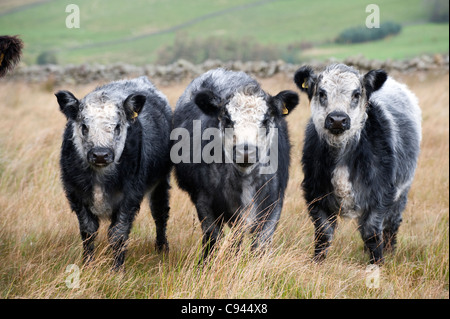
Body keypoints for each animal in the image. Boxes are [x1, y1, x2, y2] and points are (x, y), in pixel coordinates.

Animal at [54, 77, 171, 270]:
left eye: (117, 127)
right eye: (84, 126)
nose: (100, 154)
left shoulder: (130, 197)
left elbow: (118, 234)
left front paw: (117, 270)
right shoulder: (76, 194)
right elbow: (88, 232)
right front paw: (88, 265)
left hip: (161, 182)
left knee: (160, 214)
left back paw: (162, 249)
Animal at [172, 68, 298, 260]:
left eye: (265, 120)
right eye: (227, 119)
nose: (245, 151)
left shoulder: (274, 202)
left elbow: (261, 243)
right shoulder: (204, 200)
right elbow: (213, 238)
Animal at [296, 63, 422, 264]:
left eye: (356, 94)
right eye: (322, 93)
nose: (337, 119)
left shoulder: (380, 194)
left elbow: (372, 233)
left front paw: (377, 264)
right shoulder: (315, 194)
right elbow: (323, 233)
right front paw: (317, 263)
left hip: (402, 191)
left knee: (391, 224)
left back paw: (389, 252)